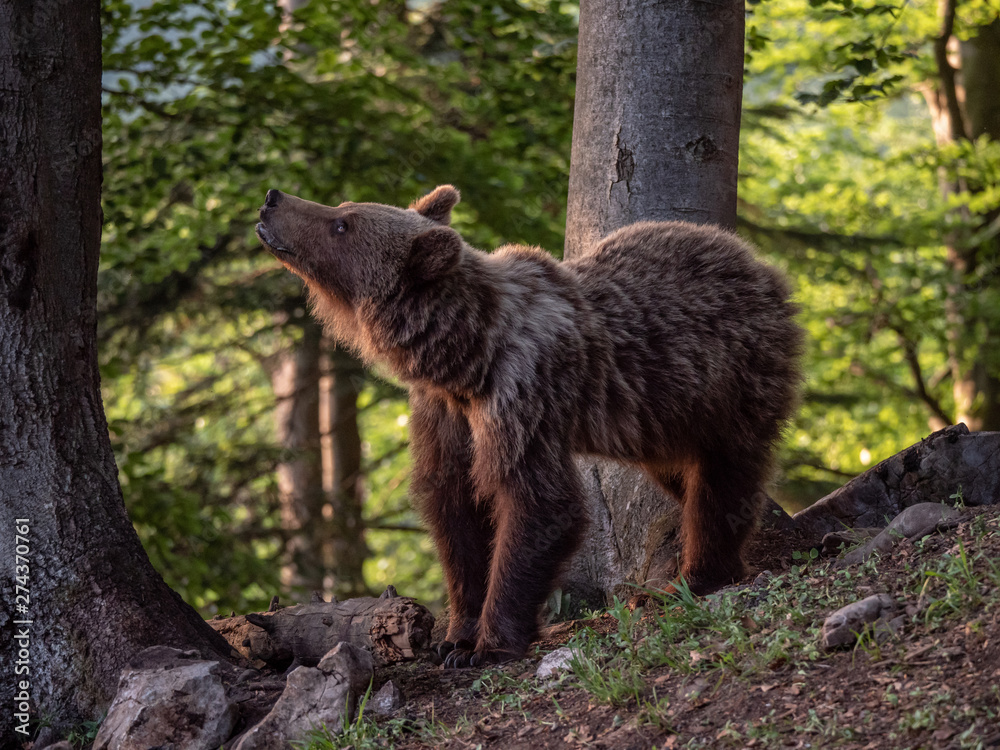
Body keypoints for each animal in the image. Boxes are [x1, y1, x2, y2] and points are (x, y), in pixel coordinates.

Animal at [256, 185, 803, 668]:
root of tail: (757, 262)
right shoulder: (444, 414)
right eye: (342, 209)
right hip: (663, 417)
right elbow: (454, 506)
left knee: (723, 475)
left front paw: (488, 645)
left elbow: (537, 501)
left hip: (730, 376)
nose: (272, 199)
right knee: (682, 474)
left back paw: (693, 577)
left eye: (341, 223)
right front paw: (454, 636)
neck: (465, 358)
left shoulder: (524, 393)